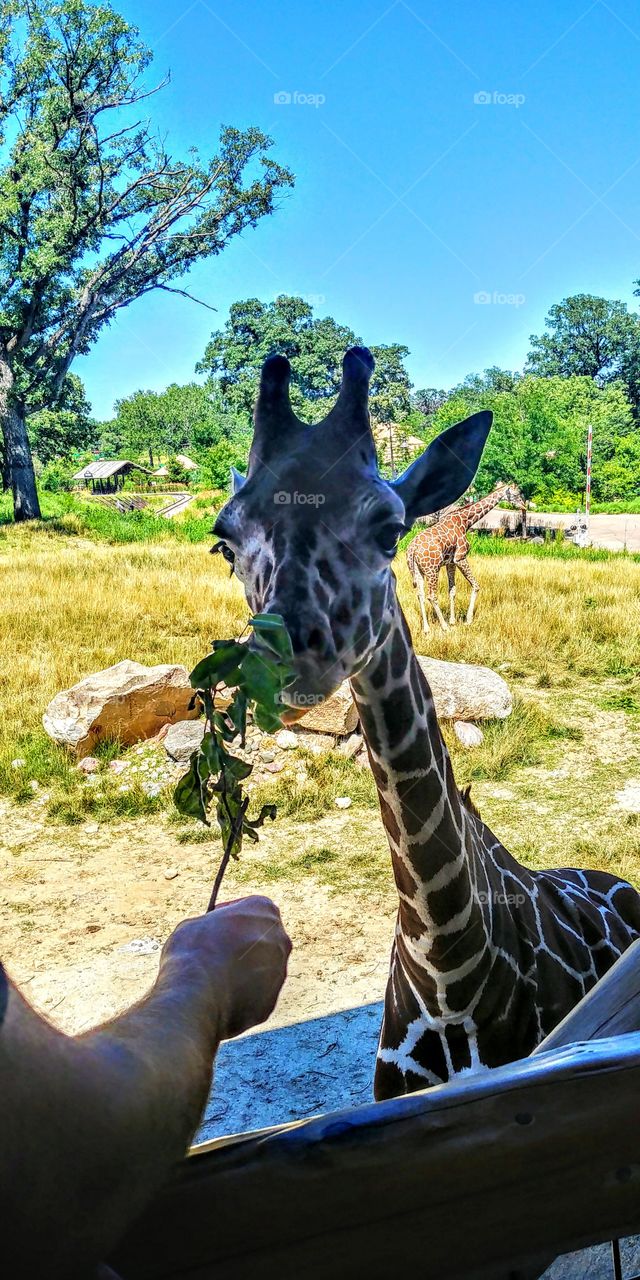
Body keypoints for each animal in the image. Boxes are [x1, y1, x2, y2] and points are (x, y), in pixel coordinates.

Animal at [407, 481, 527, 629]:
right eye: (516, 494)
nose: (524, 506)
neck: (465, 521)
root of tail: (412, 549)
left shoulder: (450, 562)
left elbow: (452, 590)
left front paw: (453, 620)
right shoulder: (460, 557)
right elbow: (476, 586)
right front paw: (468, 620)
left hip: (418, 570)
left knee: (420, 594)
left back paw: (426, 628)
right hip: (432, 569)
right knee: (431, 595)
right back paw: (444, 626)